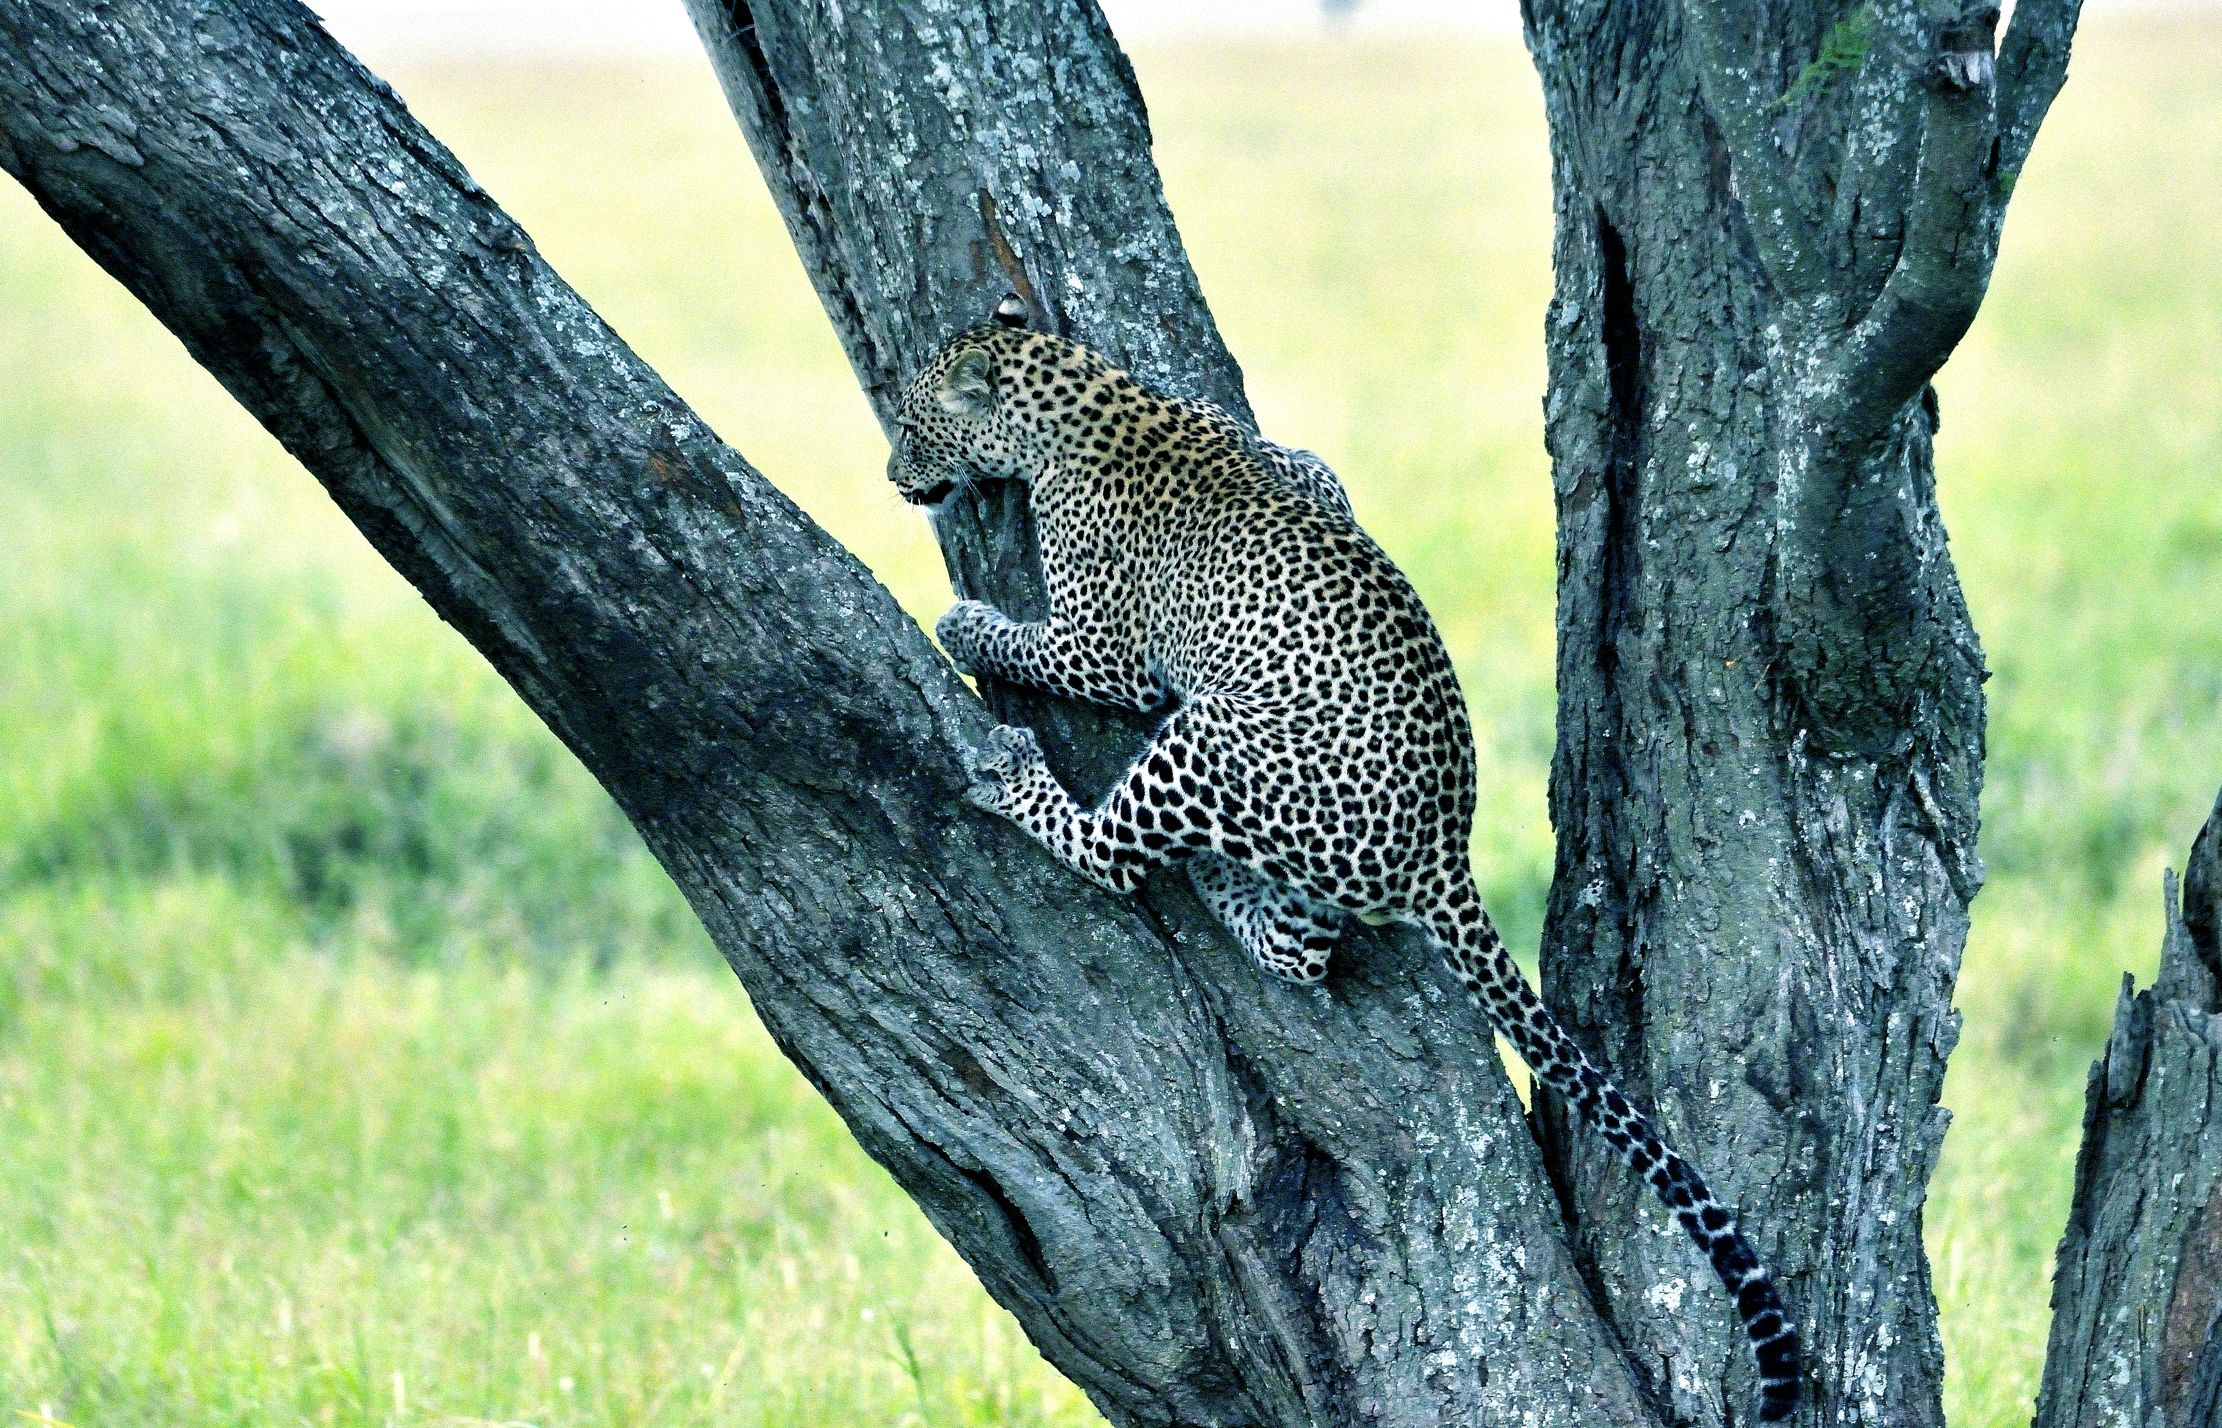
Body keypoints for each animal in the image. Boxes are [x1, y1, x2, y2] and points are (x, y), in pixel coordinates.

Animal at [887, 293, 1802, 1422]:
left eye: (914, 426)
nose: (891, 474)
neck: (1087, 392)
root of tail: (1442, 855)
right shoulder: (1299, 474)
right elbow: (1314, 466)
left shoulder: (1098, 648)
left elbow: (1027, 645)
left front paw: (967, 624)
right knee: (1297, 945)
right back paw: (1223, 885)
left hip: (1211, 744)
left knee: (1115, 851)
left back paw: (1036, 783)